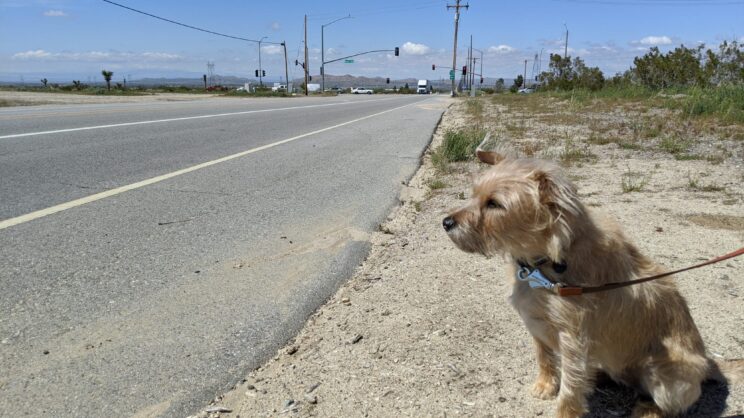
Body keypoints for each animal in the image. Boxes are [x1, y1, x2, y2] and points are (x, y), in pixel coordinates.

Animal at [444, 149, 740, 416]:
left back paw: (648, 410)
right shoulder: (537, 326)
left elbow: (571, 387)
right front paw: (545, 385)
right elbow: (544, 357)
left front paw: (564, 411)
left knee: (670, 405)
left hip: (668, 378)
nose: (446, 222)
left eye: (494, 204)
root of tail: (708, 365)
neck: (543, 263)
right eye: (474, 194)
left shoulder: (573, 340)